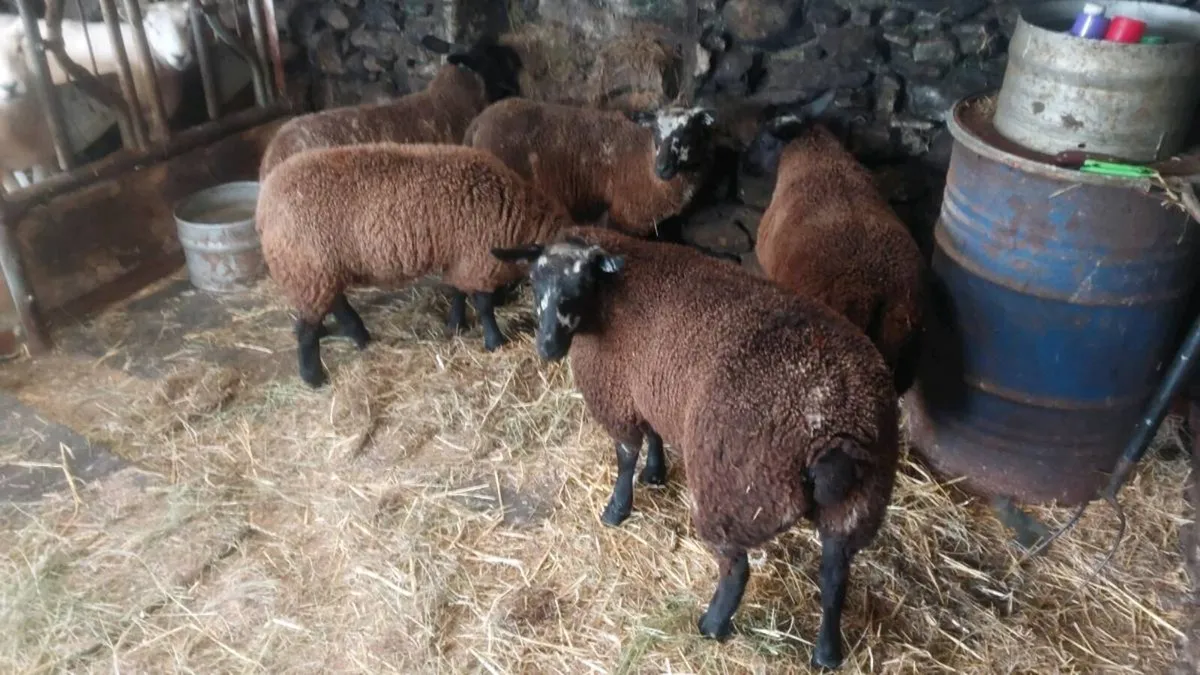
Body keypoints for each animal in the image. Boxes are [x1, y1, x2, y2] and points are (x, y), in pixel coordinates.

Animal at [256, 141, 578, 388]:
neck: (518, 216)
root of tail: (264, 206)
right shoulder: (477, 257)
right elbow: (484, 305)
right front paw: (495, 342)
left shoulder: (460, 257)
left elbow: (457, 291)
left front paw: (456, 323)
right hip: (308, 266)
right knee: (306, 328)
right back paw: (314, 377)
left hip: (323, 269)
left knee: (334, 303)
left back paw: (360, 337)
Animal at [492, 225, 900, 670]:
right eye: (534, 282)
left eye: (580, 284)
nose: (547, 347)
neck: (607, 300)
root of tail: (832, 428)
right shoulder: (648, 387)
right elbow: (653, 435)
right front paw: (655, 474)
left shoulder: (618, 394)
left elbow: (625, 456)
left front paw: (617, 509)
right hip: (857, 503)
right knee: (835, 577)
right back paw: (826, 653)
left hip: (734, 493)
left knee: (736, 569)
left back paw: (712, 625)